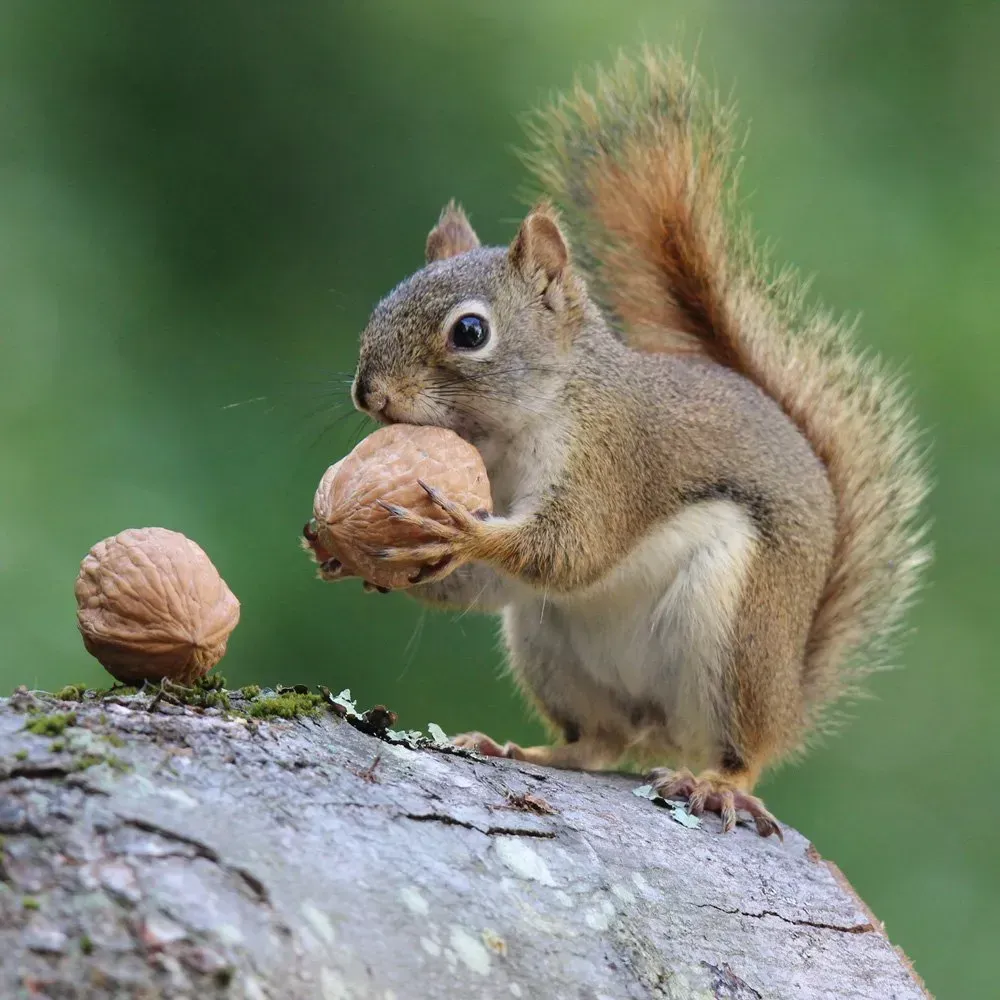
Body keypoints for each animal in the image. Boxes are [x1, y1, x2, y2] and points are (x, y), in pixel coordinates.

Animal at [346, 50, 930, 837]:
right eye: (383, 304)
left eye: (470, 332)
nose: (368, 394)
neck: (514, 430)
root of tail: (788, 696)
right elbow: (490, 585)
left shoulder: (614, 460)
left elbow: (574, 548)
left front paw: (465, 532)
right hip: (546, 646)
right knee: (601, 742)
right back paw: (519, 748)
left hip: (734, 638)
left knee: (739, 751)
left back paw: (718, 784)